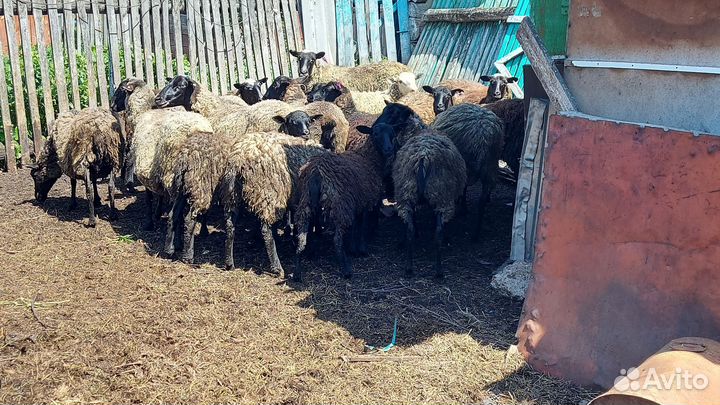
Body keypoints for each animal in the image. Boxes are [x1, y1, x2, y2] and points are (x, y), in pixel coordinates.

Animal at [292, 134, 384, 281]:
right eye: (378, 133)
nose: (388, 149)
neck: (367, 156)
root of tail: (316, 172)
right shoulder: (365, 203)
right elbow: (362, 226)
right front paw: (361, 249)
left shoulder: (358, 203)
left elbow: (357, 226)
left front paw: (354, 248)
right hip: (340, 206)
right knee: (336, 240)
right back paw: (346, 269)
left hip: (305, 203)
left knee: (301, 237)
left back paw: (297, 272)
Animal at [430, 103, 504, 236]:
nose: (439, 106)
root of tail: (483, 137)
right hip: (490, 164)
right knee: (482, 200)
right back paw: (476, 233)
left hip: (465, 165)